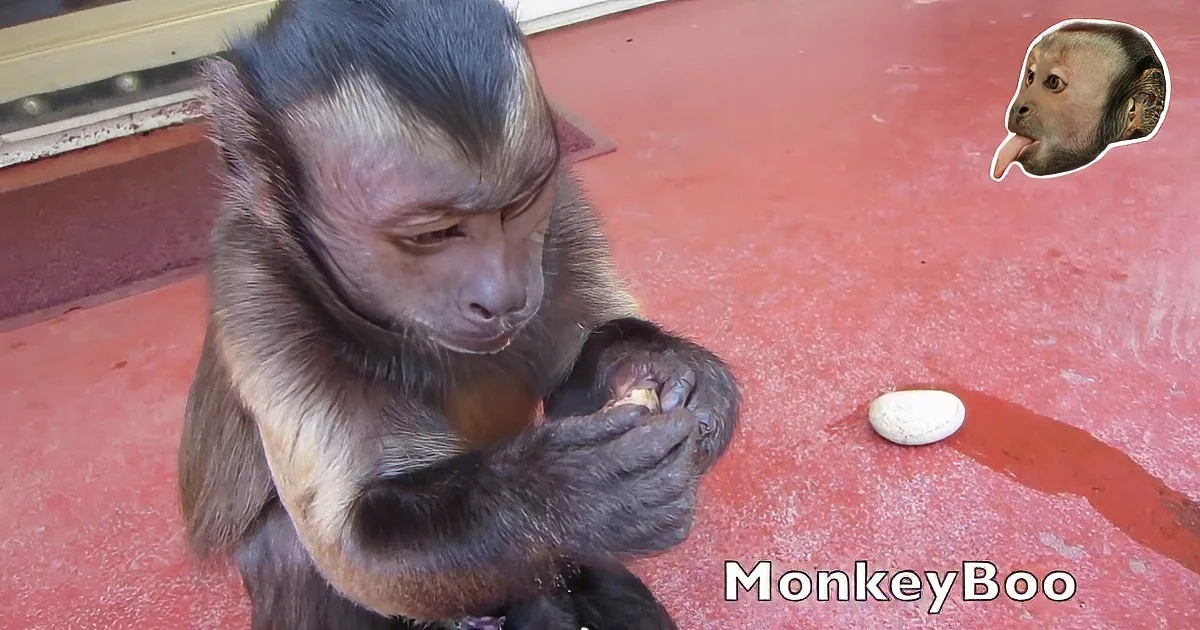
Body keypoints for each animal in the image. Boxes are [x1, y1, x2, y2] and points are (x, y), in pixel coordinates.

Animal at [175, 1, 741, 629]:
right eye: (434, 234)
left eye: (519, 206)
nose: (502, 296)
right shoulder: (256, 290)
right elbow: (353, 551)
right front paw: (566, 495)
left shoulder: (564, 211)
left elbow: (578, 372)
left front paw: (664, 369)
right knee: (285, 547)